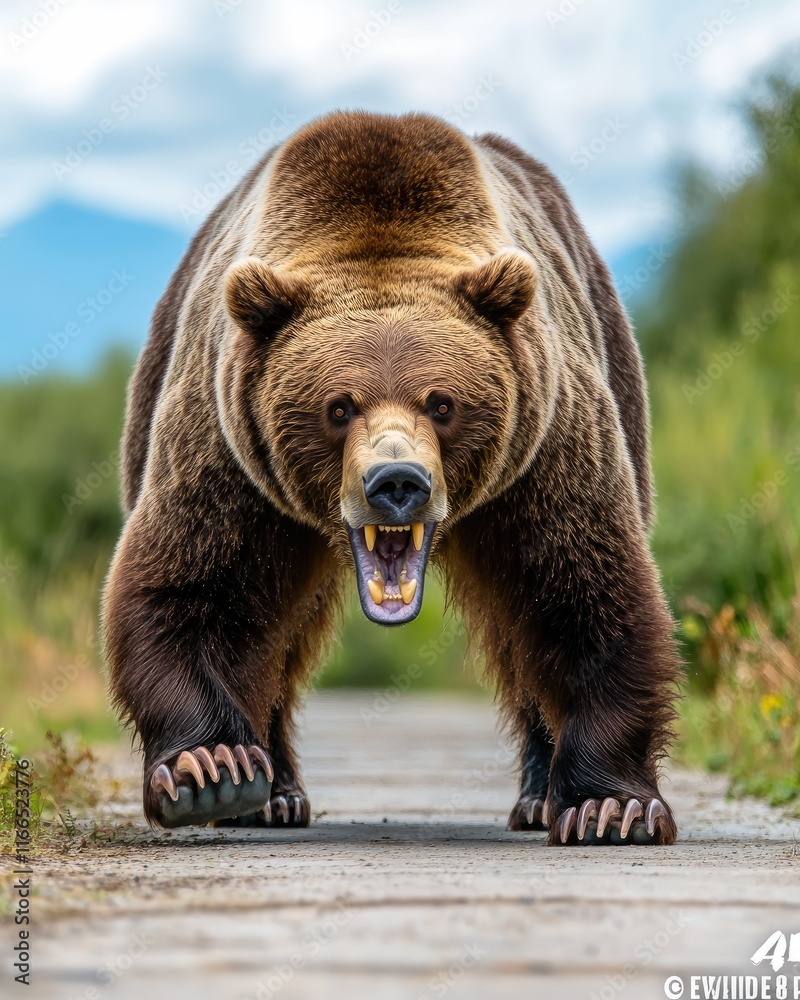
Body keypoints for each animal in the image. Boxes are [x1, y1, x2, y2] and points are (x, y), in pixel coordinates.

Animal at [103, 110, 681, 845]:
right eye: (338, 406)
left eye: (443, 403)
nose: (397, 482)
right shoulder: (227, 451)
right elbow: (191, 586)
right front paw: (210, 770)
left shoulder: (545, 448)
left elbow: (585, 589)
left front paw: (609, 806)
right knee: (276, 641)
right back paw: (273, 795)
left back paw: (535, 798)